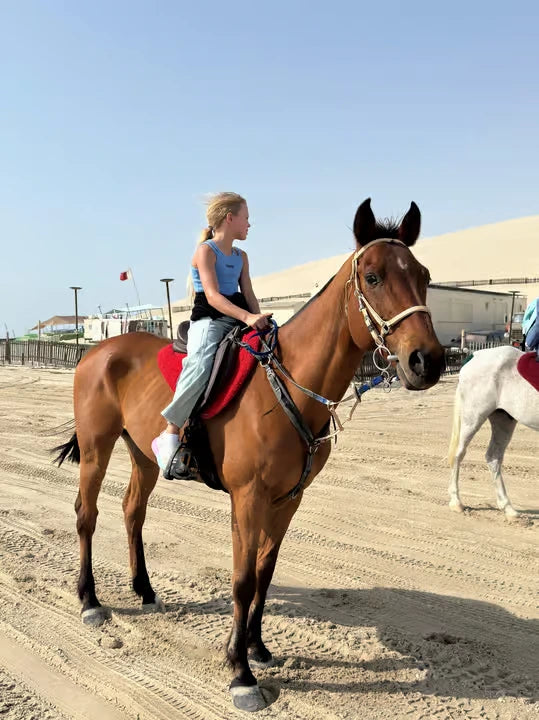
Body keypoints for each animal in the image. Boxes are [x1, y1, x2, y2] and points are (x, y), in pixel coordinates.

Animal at [53, 198, 444, 712]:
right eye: (374, 276)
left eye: (423, 274)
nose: (428, 361)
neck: (288, 386)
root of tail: (98, 349)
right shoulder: (249, 497)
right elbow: (241, 579)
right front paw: (240, 672)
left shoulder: (289, 499)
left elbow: (264, 571)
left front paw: (256, 647)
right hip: (97, 448)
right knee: (87, 514)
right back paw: (90, 601)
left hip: (142, 455)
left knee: (132, 511)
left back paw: (145, 590)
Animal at [448, 345, 539, 518]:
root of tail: (475, 355)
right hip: (473, 416)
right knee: (459, 454)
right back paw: (456, 502)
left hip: (503, 420)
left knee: (494, 457)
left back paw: (507, 507)